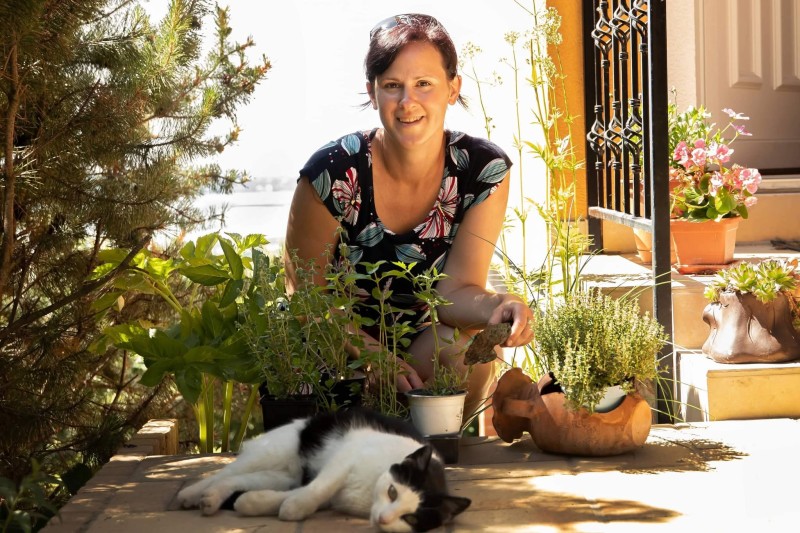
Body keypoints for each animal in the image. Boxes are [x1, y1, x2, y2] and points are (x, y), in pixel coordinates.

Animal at [177, 408, 471, 532]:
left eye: (410, 518)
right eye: (392, 492)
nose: (384, 519)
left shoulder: (321, 491)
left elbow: (296, 495)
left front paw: (253, 504)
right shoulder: (346, 456)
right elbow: (320, 487)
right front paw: (293, 509)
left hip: (282, 476)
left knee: (237, 480)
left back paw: (213, 498)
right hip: (270, 452)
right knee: (222, 473)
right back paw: (191, 495)